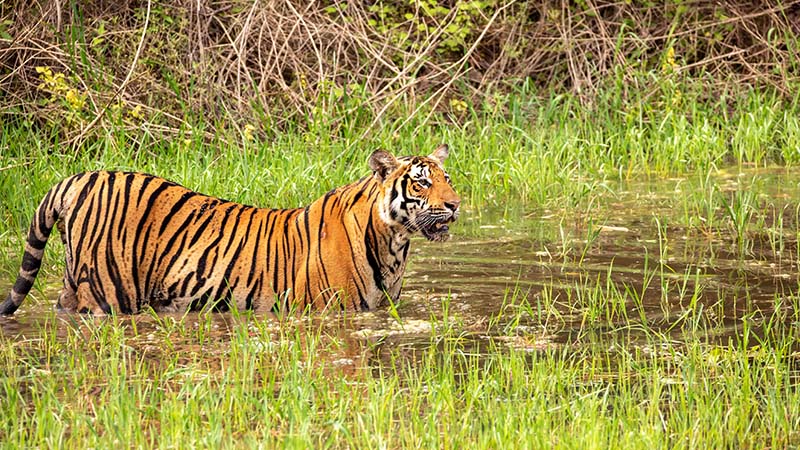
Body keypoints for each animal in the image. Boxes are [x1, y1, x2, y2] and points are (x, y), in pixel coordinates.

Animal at [0, 146, 460, 314]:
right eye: (421, 182)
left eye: (448, 178)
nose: (455, 204)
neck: (394, 243)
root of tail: (80, 177)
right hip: (106, 293)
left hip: (74, 285)